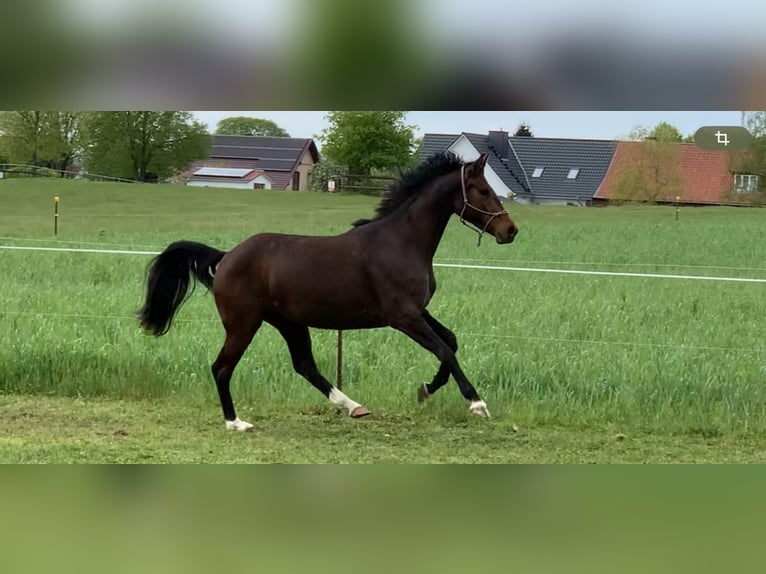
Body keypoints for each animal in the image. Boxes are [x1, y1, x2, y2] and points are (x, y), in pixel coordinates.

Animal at [140, 153, 520, 432]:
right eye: (483, 191)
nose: (510, 231)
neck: (401, 242)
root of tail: (226, 256)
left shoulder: (418, 311)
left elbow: (451, 342)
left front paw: (425, 389)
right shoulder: (403, 316)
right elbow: (444, 350)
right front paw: (476, 403)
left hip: (288, 322)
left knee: (304, 365)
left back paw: (352, 406)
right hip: (243, 324)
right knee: (222, 368)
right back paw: (236, 423)